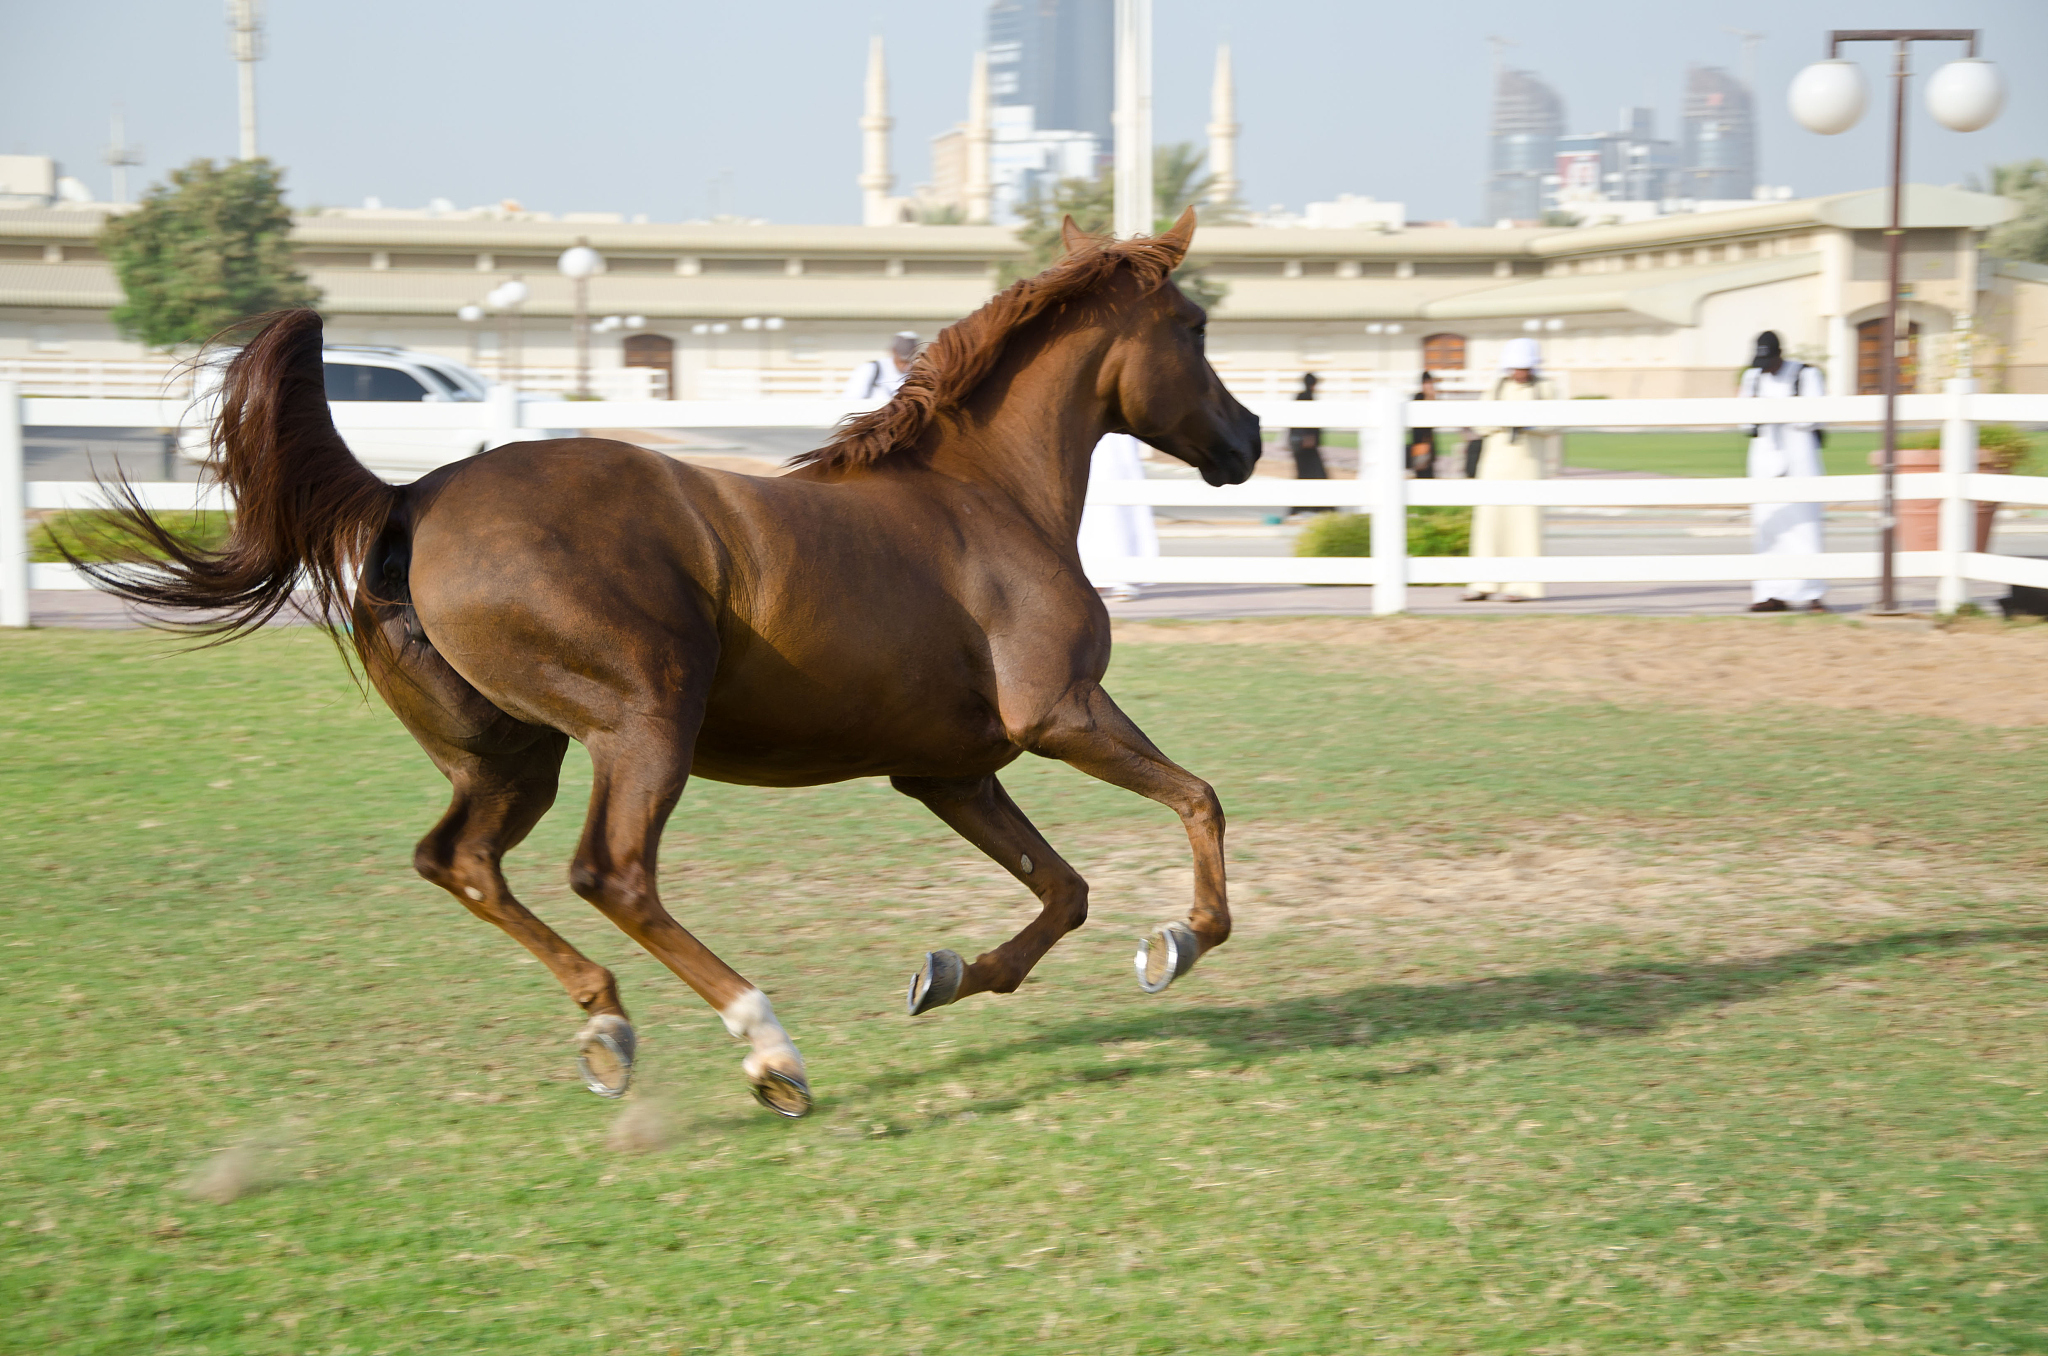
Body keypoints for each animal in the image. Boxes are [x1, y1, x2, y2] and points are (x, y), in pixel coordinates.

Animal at [79, 208, 1261, 1118]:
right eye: (1196, 326)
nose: (1247, 440)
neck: (983, 498)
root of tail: (411, 497)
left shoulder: (948, 770)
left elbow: (1064, 890)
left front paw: (949, 975)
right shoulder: (1058, 715)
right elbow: (1198, 801)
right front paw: (1180, 941)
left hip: (513, 757)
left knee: (461, 862)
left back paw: (607, 1027)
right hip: (645, 722)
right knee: (611, 872)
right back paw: (769, 1049)